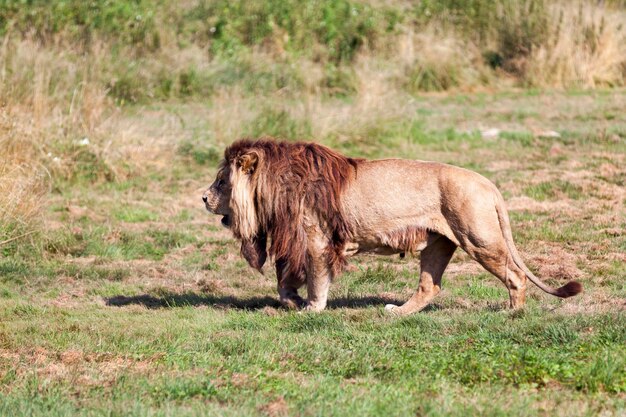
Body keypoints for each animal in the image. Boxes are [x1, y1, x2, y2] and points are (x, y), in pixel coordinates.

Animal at [202, 138, 584, 314]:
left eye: (221, 181)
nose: (203, 198)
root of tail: (488, 183)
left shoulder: (316, 240)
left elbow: (315, 280)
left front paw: (311, 308)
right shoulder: (295, 241)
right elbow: (285, 283)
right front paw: (293, 302)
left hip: (479, 238)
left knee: (516, 275)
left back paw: (513, 313)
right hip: (438, 244)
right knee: (430, 286)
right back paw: (398, 313)